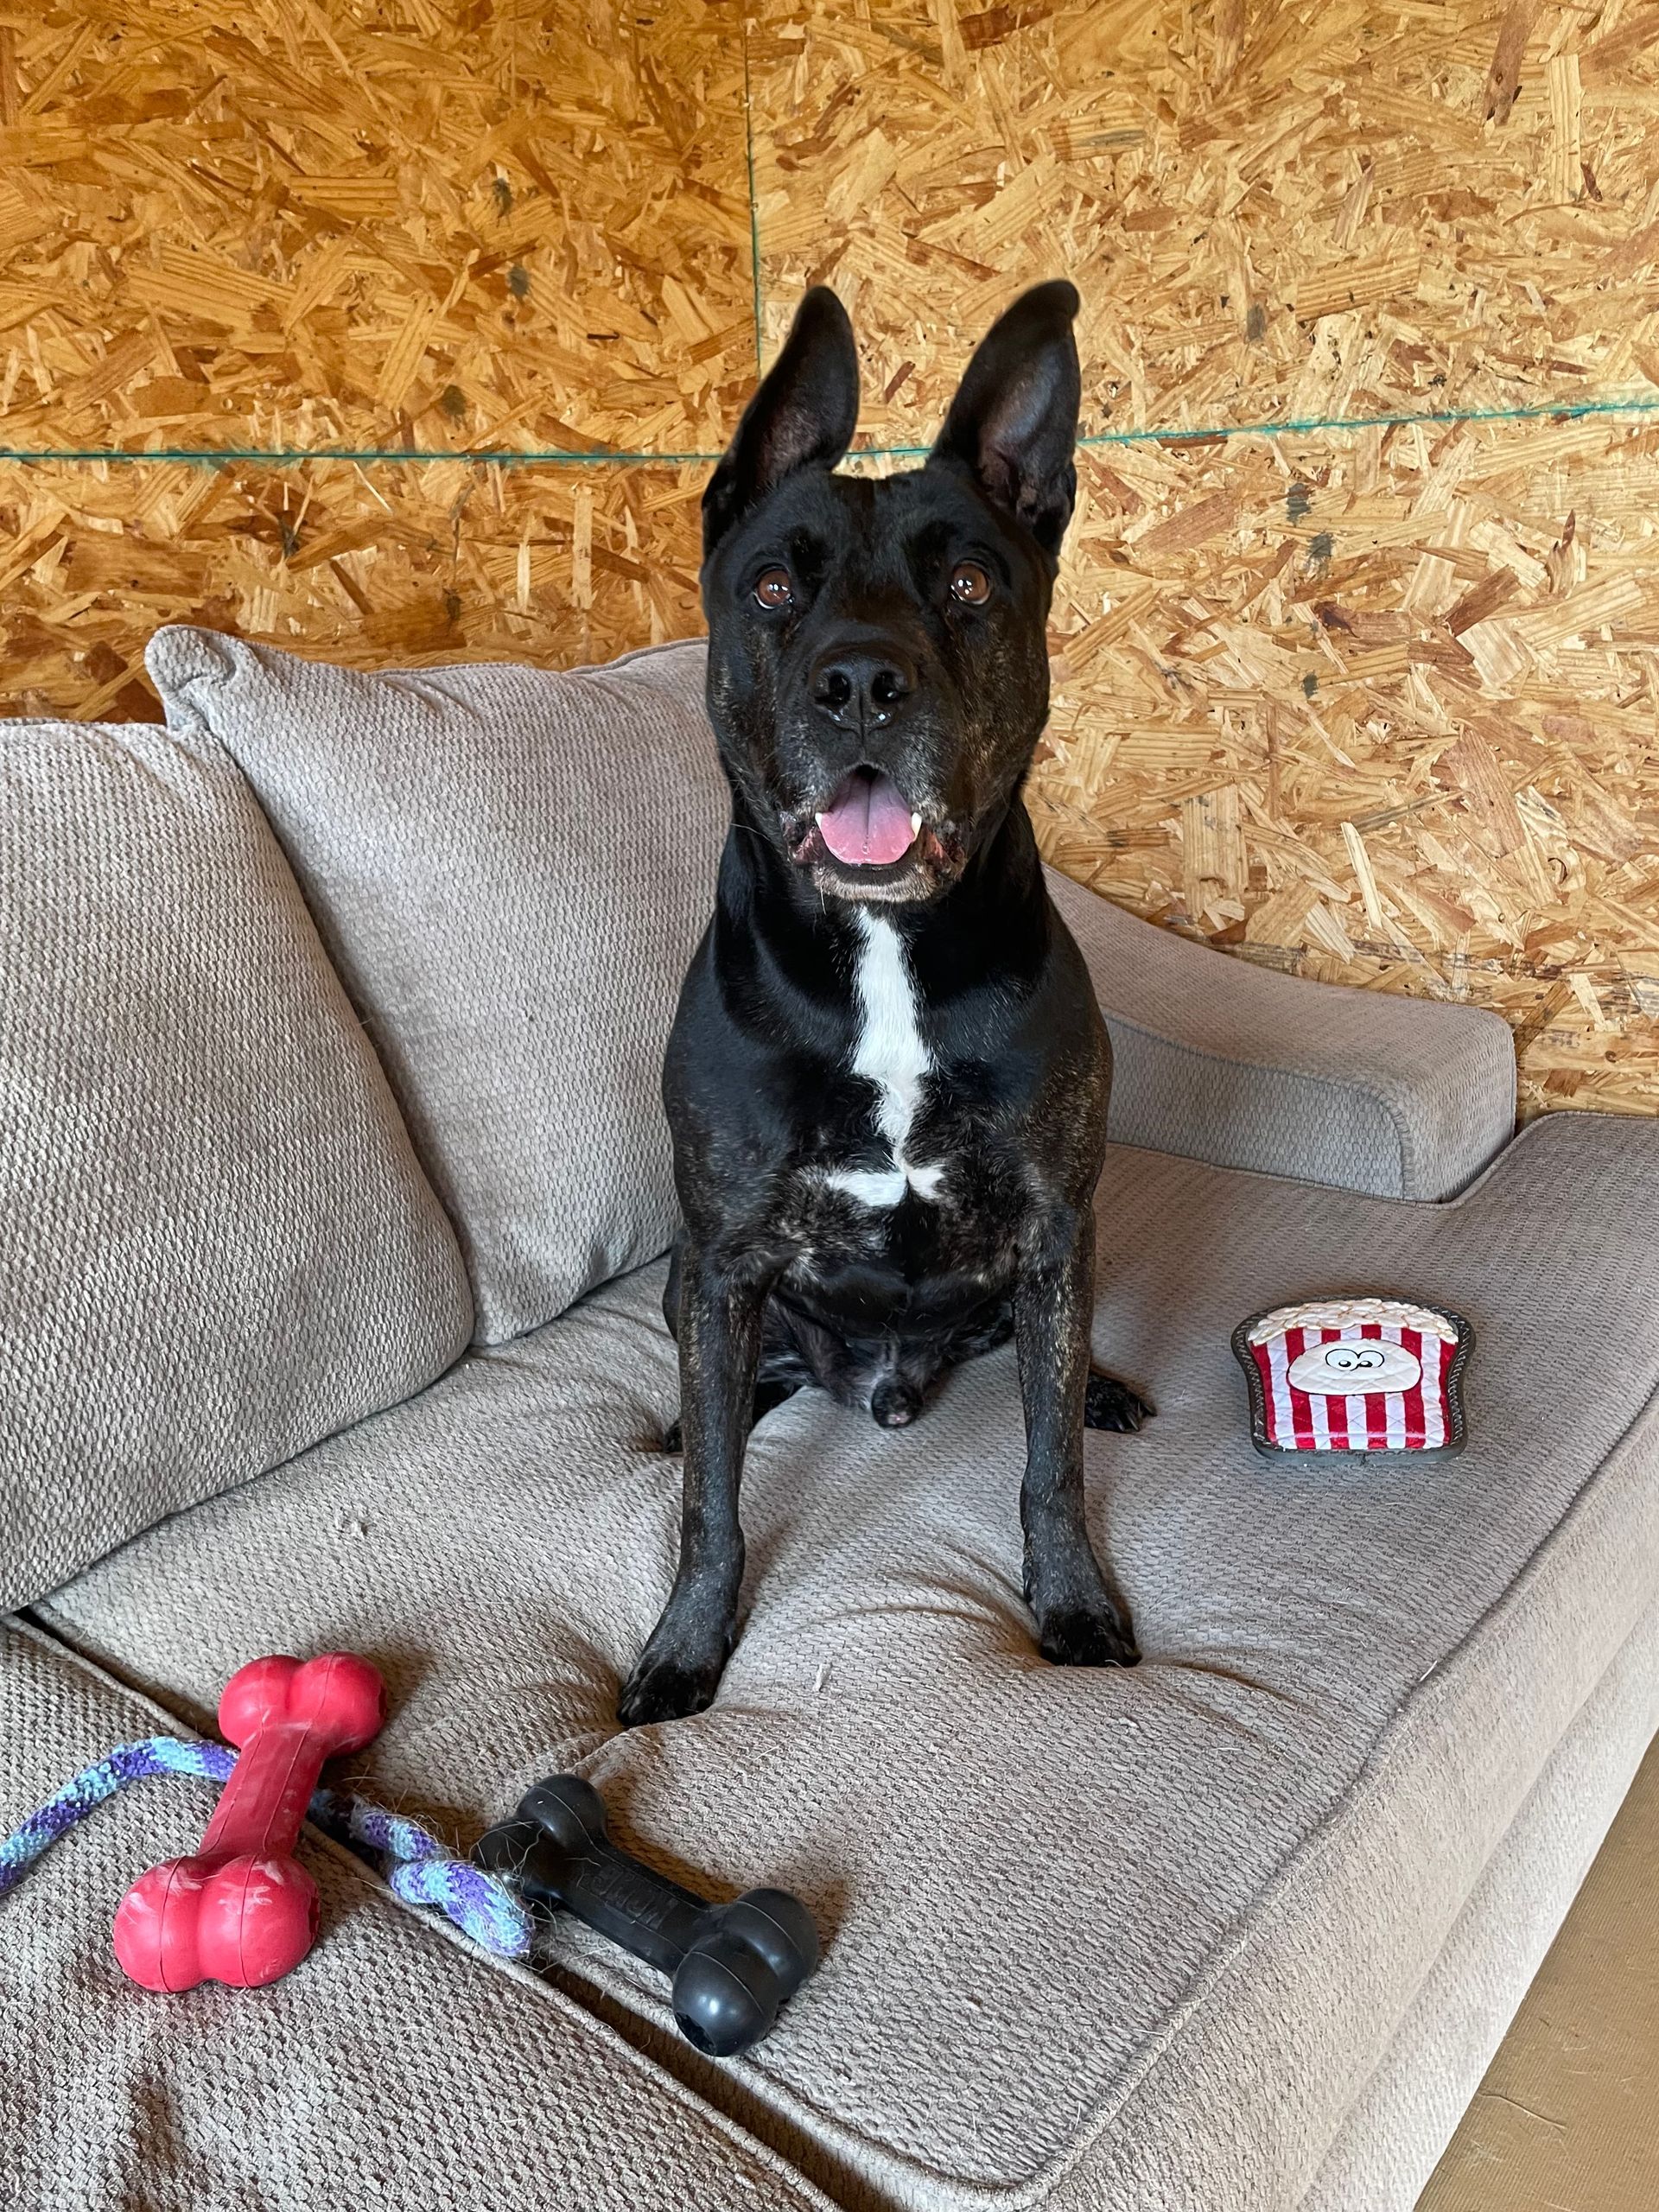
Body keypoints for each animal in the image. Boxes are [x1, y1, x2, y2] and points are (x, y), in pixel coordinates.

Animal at [619, 281, 1150, 1725]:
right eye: (772, 585)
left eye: (967, 584)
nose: (859, 682)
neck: (883, 951)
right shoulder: (726, 1258)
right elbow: (711, 1508)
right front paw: (686, 1644)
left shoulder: (1055, 1227)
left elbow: (1045, 1466)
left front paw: (1072, 1601)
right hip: (691, 1282)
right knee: (720, 1404)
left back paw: (1105, 1391)